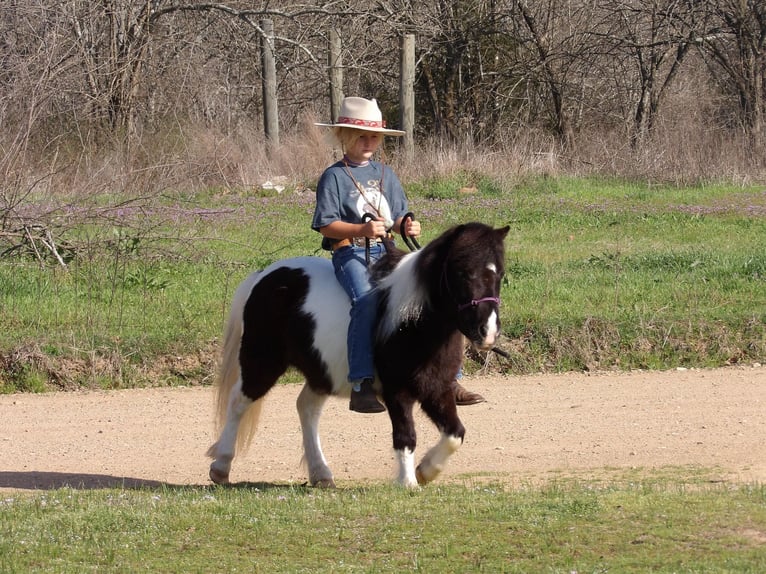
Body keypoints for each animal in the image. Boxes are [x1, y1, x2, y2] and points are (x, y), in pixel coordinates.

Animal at [207, 221, 510, 488]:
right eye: (463, 272)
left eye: (499, 274)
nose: (488, 331)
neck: (412, 318)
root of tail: (262, 277)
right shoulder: (396, 391)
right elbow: (405, 435)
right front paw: (408, 482)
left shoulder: (436, 388)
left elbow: (455, 434)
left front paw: (426, 470)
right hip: (262, 360)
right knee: (238, 403)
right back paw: (221, 467)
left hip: (320, 371)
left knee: (306, 408)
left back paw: (321, 473)